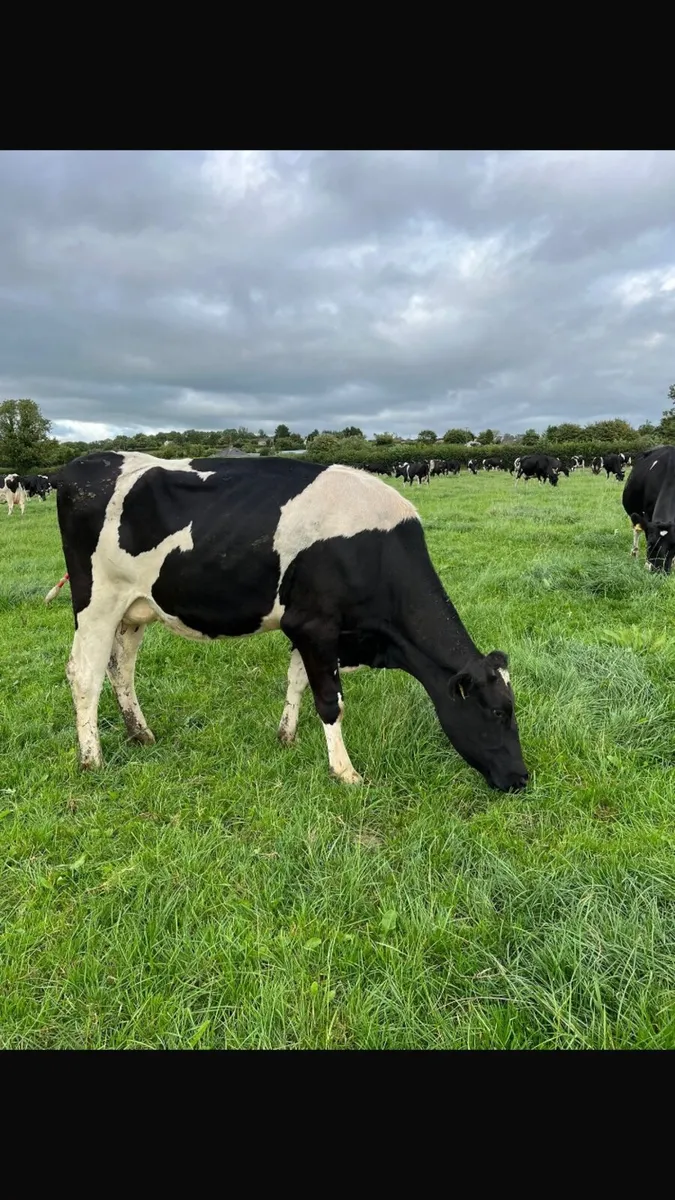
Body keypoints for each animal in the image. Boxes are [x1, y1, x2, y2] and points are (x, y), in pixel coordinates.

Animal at [45, 452, 529, 792]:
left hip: (135, 607)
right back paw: (92, 759)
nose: (522, 778)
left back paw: (140, 733)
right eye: (497, 711)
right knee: (84, 673)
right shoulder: (316, 626)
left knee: (120, 668)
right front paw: (345, 772)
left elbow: (296, 682)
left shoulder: (309, 628)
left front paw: (287, 736)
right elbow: (330, 701)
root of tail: (84, 463)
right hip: (97, 601)